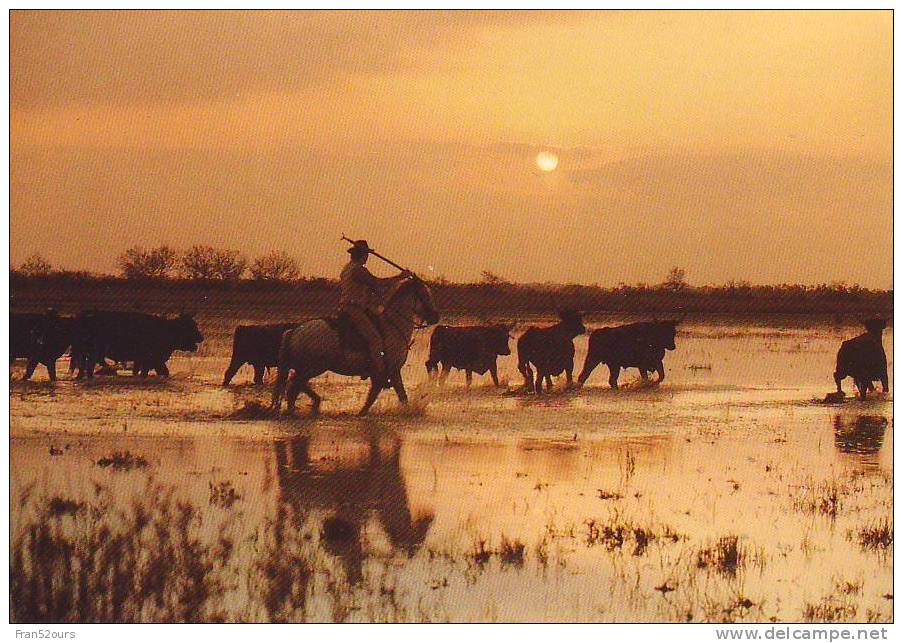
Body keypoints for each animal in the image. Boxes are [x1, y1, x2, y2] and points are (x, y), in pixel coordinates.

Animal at [270, 278, 440, 418]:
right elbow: (398, 395)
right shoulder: (393, 370)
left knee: (295, 384)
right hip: (313, 367)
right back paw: (298, 410)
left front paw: (362, 412)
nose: (435, 317)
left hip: (307, 368)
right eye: (425, 295)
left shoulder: (382, 374)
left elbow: (375, 395)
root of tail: (295, 331)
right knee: (295, 386)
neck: (392, 326)